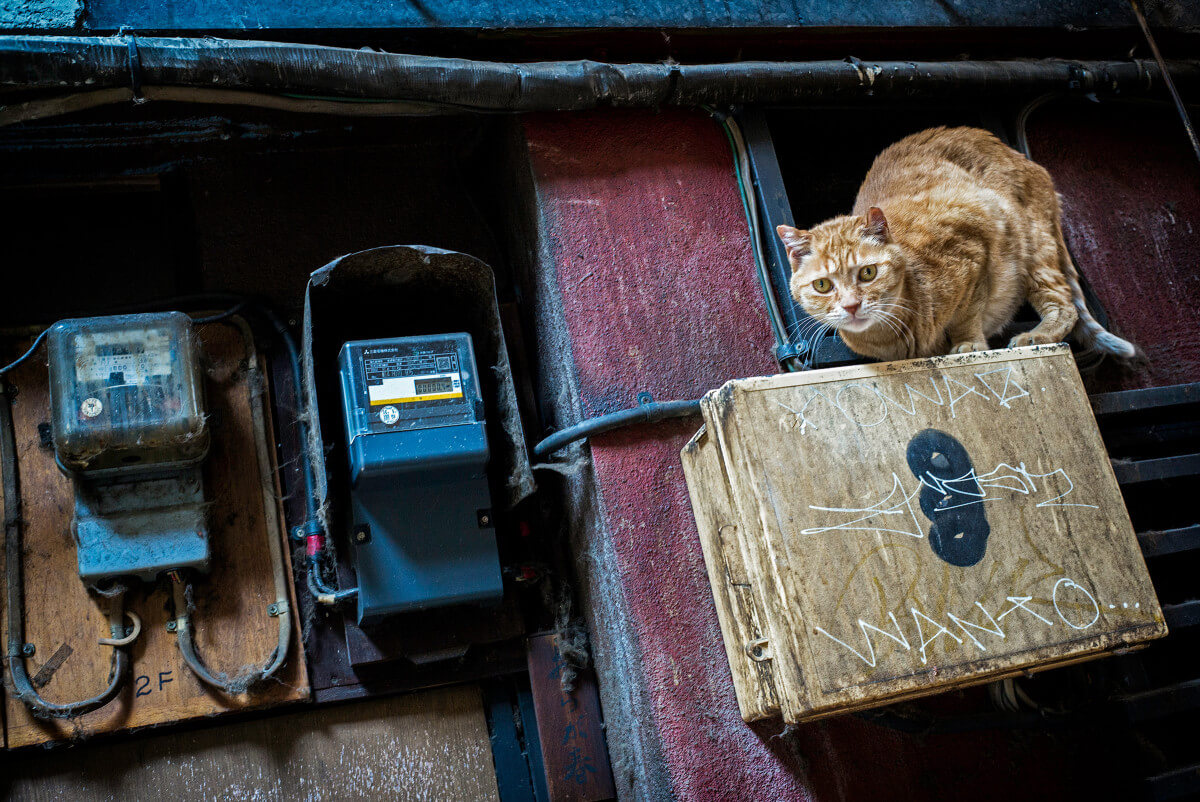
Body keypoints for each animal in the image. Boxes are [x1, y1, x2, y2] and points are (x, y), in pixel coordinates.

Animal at [777, 126, 1132, 362]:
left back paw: (1036, 335)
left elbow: (967, 314)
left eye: (867, 273)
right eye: (823, 285)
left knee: (1064, 303)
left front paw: (968, 343)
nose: (851, 306)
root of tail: (1028, 161)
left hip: (1034, 246)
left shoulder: (976, 246)